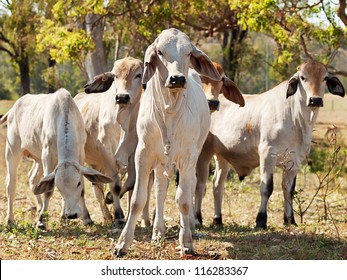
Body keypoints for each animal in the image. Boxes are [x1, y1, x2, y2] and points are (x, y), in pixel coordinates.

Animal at [2, 88, 111, 229]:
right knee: (11, 184)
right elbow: (48, 191)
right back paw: (10, 219)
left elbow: (81, 191)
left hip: (37, 159)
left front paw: (86, 218)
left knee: (33, 179)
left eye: (78, 183)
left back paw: (39, 209)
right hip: (12, 151)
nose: (71, 215)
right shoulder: (47, 157)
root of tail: (13, 108)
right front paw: (41, 221)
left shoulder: (80, 156)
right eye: (58, 186)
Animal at [74, 57, 143, 228]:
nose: (122, 97)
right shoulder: (106, 149)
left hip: (97, 164)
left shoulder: (133, 152)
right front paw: (119, 216)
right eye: (115, 76)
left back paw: (106, 216)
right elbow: (115, 184)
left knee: (97, 188)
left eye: (138, 75)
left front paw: (110, 198)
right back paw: (86, 217)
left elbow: (130, 182)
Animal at [114, 27, 222, 256]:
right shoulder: (143, 154)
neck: (169, 112)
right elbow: (137, 200)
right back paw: (157, 232)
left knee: (188, 190)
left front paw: (186, 242)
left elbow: (183, 200)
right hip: (160, 161)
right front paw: (122, 244)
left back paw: (189, 226)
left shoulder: (188, 158)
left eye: (189, 53)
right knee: (160, 191)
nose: (177, 79)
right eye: (160, 52)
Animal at [196, 60, 346, 229]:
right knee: (200, 186)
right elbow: (266, 188)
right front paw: (261, 220)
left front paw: (290, 219)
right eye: (303, 77)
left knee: (217, 186)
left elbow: (289, 190)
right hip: (203, 154)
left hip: (222, 157)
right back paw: (197, 219)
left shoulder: (294, 162)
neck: (297, 120)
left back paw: (218, 219)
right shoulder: (268, 155)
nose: (315, 100)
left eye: (325, 78)